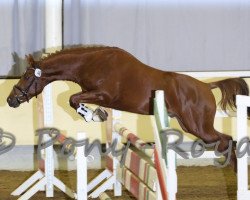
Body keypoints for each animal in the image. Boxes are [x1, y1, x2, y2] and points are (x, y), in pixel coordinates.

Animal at [6, 45, 249, 172]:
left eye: (26, 76)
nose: (10, 100)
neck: (92, 64)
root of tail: (207, 86)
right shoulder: (98, 95)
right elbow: (75, 100)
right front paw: (99, 114)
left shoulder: (103, 94)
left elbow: (73, 99)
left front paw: (92, 115)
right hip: (193, 125)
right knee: (224, 141)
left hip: (197, 126)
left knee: (226, 140)